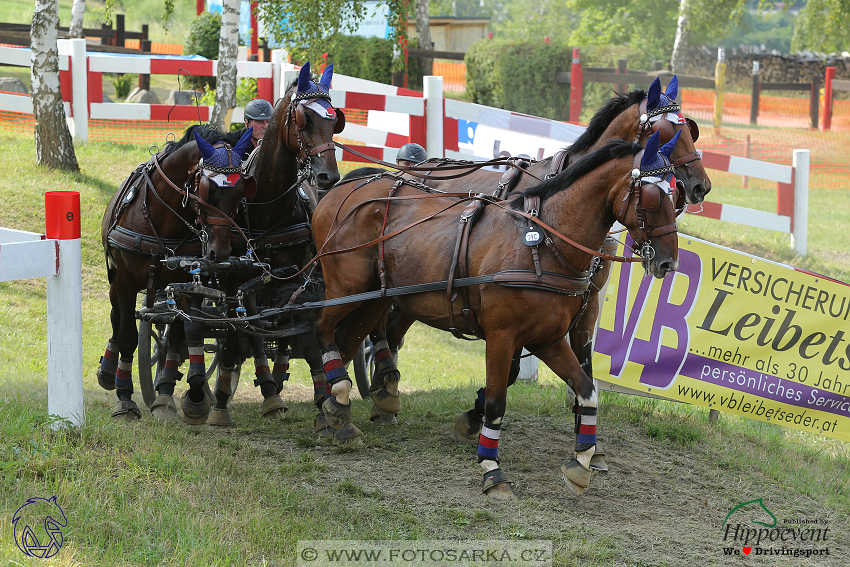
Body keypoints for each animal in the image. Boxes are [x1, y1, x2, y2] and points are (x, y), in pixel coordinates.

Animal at [98, 129, 253, 422]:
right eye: (208, 190)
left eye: (242, 191)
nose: (220, 252)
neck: (161, 219)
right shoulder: (124, 280)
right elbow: (127, 335)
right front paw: (125, 398)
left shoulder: (187, 284)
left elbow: (183, 333)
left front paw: (177, 395)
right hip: (115, 279)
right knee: (116, 318)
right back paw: (109, 371)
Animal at [154, 62, 346, 426]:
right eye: (305, 119)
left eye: (335, 121)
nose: (328, 176)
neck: (268, 209)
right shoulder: (235, 278)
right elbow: (232, 333)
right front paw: (217, 403)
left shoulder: (299, 280)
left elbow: (304, 336)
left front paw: (324, 400)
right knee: (227, 328)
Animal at [310, 131, 676, 500]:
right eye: (651, 196)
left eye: (675, 195)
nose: (668, 261)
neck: (543, 242)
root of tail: (346, 186)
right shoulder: (502, 336)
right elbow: (497, 403)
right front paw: (491, 468)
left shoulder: (547, 339)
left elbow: (587, 390)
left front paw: (582, 461)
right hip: (345, 287)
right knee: (322, 329)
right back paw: (338, 395)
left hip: (374, 299)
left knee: (348, 342)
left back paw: (335, 412)